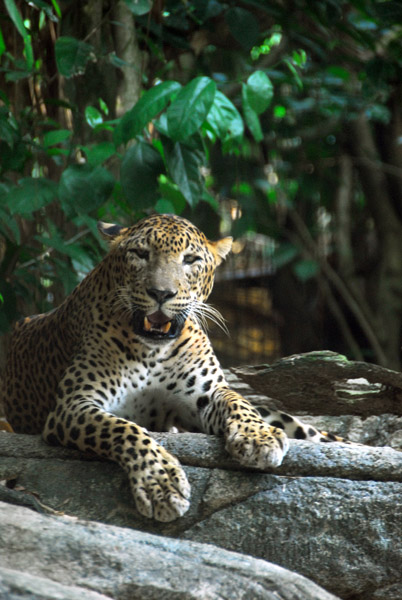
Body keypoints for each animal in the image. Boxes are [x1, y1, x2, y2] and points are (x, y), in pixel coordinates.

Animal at [2, 214, 342, 520]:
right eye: (140, 254)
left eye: (190, 259)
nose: (161, 293)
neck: (152, 350)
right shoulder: (73, 405)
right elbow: (124, 429)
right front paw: (161, 485)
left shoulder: (206, 395)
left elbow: (237, 401)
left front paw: (257, 436)